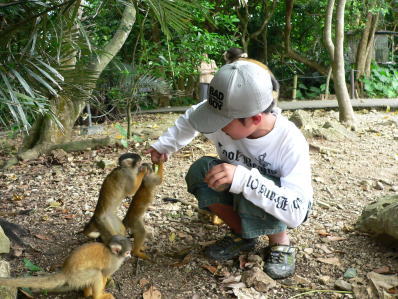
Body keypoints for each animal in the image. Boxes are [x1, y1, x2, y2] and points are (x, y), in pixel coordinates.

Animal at [0, 237, 132, 299]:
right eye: (127, 252)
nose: (130, 255)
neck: (112, 252)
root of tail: (66, 271)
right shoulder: (114, 262)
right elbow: (104, 274)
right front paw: (103, 288)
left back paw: (86, 293)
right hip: (78, 276)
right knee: (96, 274)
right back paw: (97, 296)